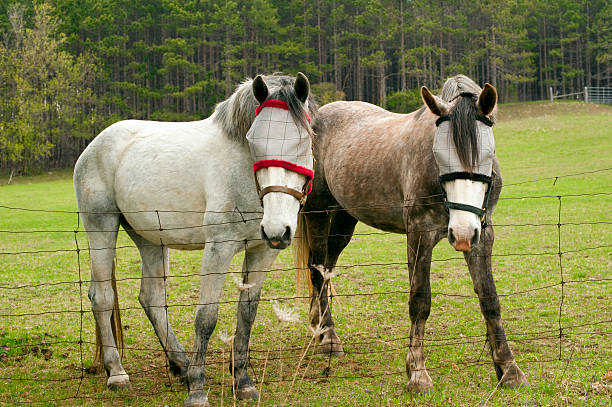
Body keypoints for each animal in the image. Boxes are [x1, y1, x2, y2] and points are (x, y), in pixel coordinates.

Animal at [73, 73, 316, 407]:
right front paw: (198, 390)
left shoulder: (262, 251)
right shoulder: (218, 248)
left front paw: (243, 381)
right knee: (101, 298)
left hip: (150, 238)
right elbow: (206, 317)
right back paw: (118, 373)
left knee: (151, 298)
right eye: (253, 141)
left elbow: (246, 314)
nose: (277, 228)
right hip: (101, 227)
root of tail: (95, 145)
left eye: (303, 141)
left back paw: (181, 364)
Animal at [294, 75, 528, 392]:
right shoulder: (419, 234)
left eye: (488, 153)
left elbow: (489, 299)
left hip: (345, 218)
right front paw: (417, 373)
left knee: (327, 268)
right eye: (438, 154)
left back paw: (318, 326)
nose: (462, 233)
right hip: (318, 211)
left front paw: (509, 369)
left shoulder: (482, 235)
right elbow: (420, 301)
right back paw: (328, 337)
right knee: (317, 270)